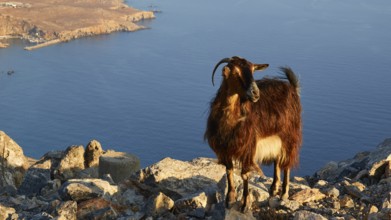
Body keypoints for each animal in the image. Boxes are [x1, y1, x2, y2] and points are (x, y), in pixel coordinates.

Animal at [205, 56, 304, 211]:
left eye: (252, 71)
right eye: (235, 72)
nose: (256, 93)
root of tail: (292, 87)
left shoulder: (248, 147)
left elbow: (245, 175)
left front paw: (245, 204)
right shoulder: (225, 148)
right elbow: (229, 170)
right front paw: (229, 199)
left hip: (289, 134)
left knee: (287, 162)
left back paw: (283, 194)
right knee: (277, 160)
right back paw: (273, 188)